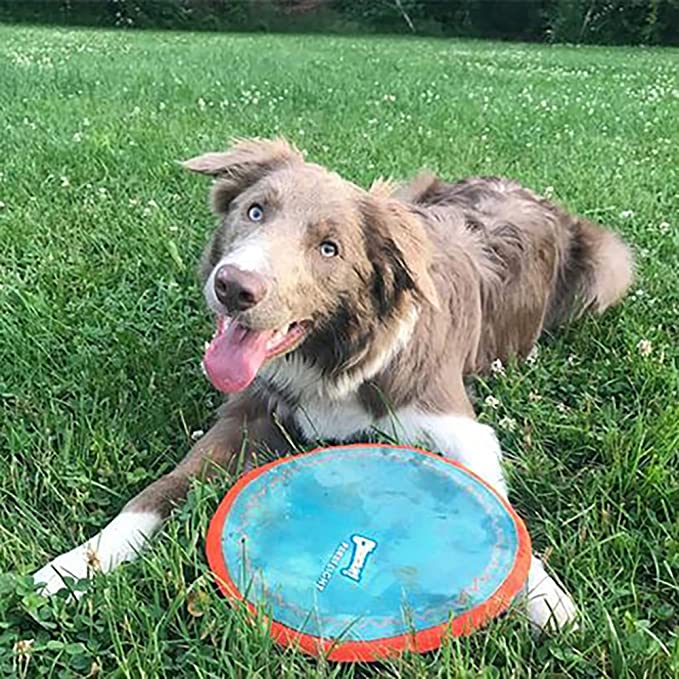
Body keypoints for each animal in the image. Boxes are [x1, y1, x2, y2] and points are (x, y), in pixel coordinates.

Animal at [34, 137, 636, 632]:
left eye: (330, 249)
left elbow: (495, 502)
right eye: (255, 210)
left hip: (607, 268)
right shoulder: (249, 413)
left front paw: (544, 598)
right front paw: (75, 565)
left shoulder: (457, 424)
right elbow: (160, 489)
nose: (234, 287)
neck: (331, 357)